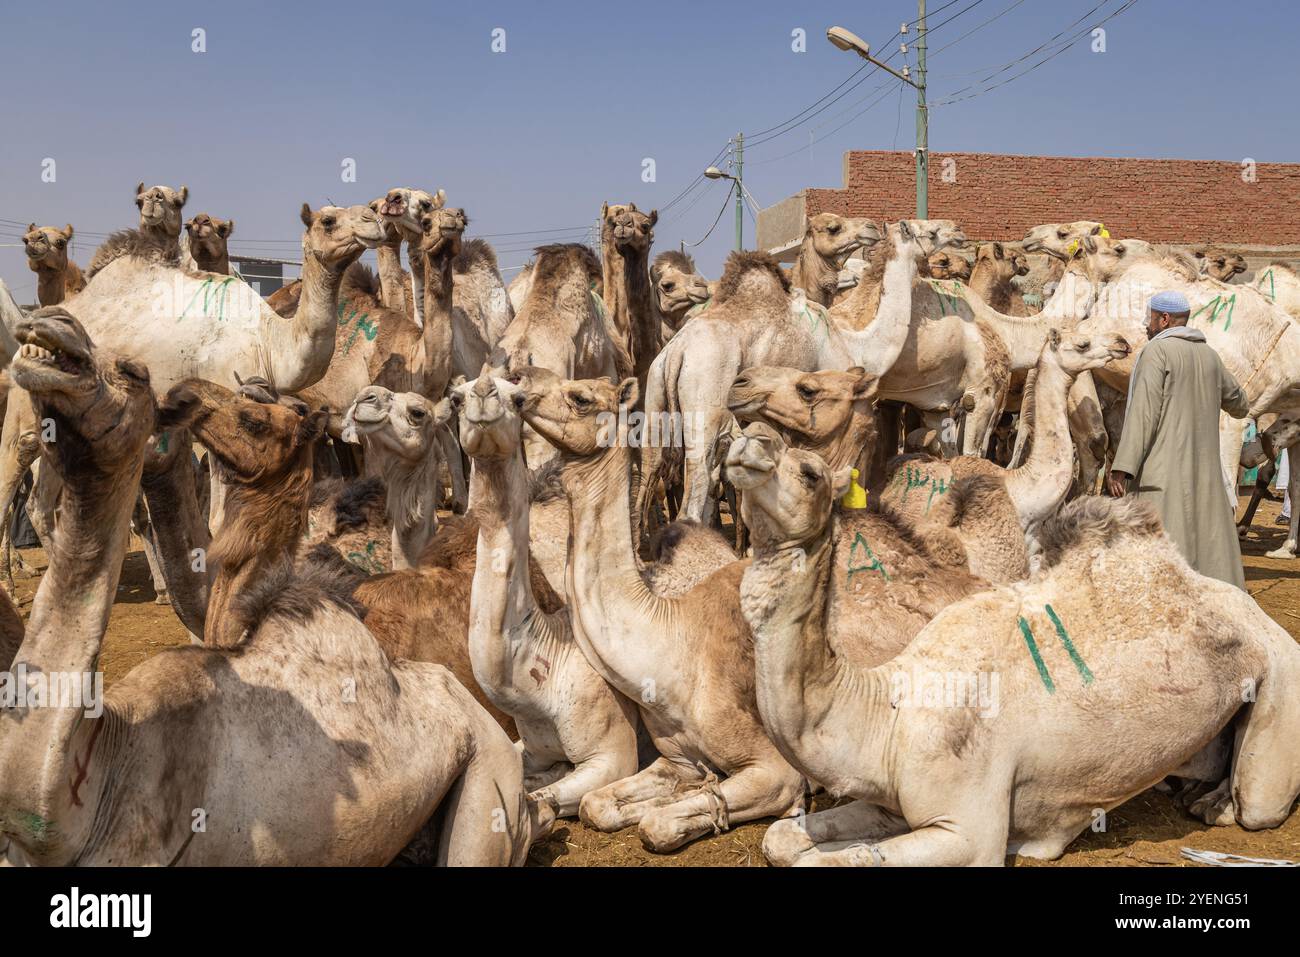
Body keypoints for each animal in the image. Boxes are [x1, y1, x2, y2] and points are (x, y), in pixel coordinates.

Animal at [738, 444, 1300, 863]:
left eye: (809, 471)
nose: (745, 447)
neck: (889, 710)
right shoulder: (895, 800)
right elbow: (782, 838)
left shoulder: (968, 829)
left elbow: (844, 857)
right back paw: (1187, 790)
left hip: (1281, 681)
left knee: (1258, 804)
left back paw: (1215, 805)